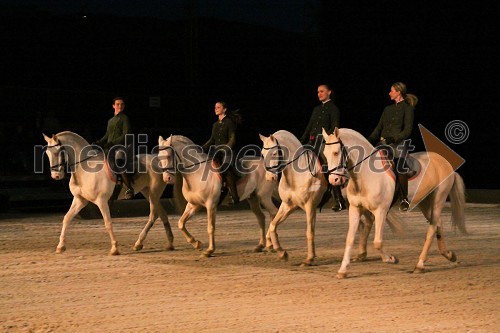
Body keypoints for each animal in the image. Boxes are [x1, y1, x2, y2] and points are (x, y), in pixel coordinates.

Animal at [43, 131, 176, 253]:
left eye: (57, 152)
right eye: (47, 153)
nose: (55, 176)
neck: (85, 169)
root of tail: (159, 160)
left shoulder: (101, 201)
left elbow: (108, 223)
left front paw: (114, 248)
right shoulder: (80, 200)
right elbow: (66, 218)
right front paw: (60, 246)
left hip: (154, 192)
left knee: (153, 215)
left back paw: (139, 243)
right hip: (147, 192)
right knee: (162, 214)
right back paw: (168, 244)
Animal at [258, 130, 328, 264]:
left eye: (274, 153)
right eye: (263, 154)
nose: (270, 178)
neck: (296, 175)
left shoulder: (310, 206)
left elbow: (309, 232)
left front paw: (309, 259)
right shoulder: (289, 205)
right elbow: (273, 225)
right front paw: (281, 252)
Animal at [322, 127, 466, 278]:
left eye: (336, 152)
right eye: (325, 154)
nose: (334, 180)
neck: (366, 175)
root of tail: (446, 164)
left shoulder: (380, 211)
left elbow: (378, 242)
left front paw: (390, 259)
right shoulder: (355, 209)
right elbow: (349, 239)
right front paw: (343, 270)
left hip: (438, 199)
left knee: (432, 228)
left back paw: (420, 264)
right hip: (425, 202)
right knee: (438, 223)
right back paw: (449, 255)